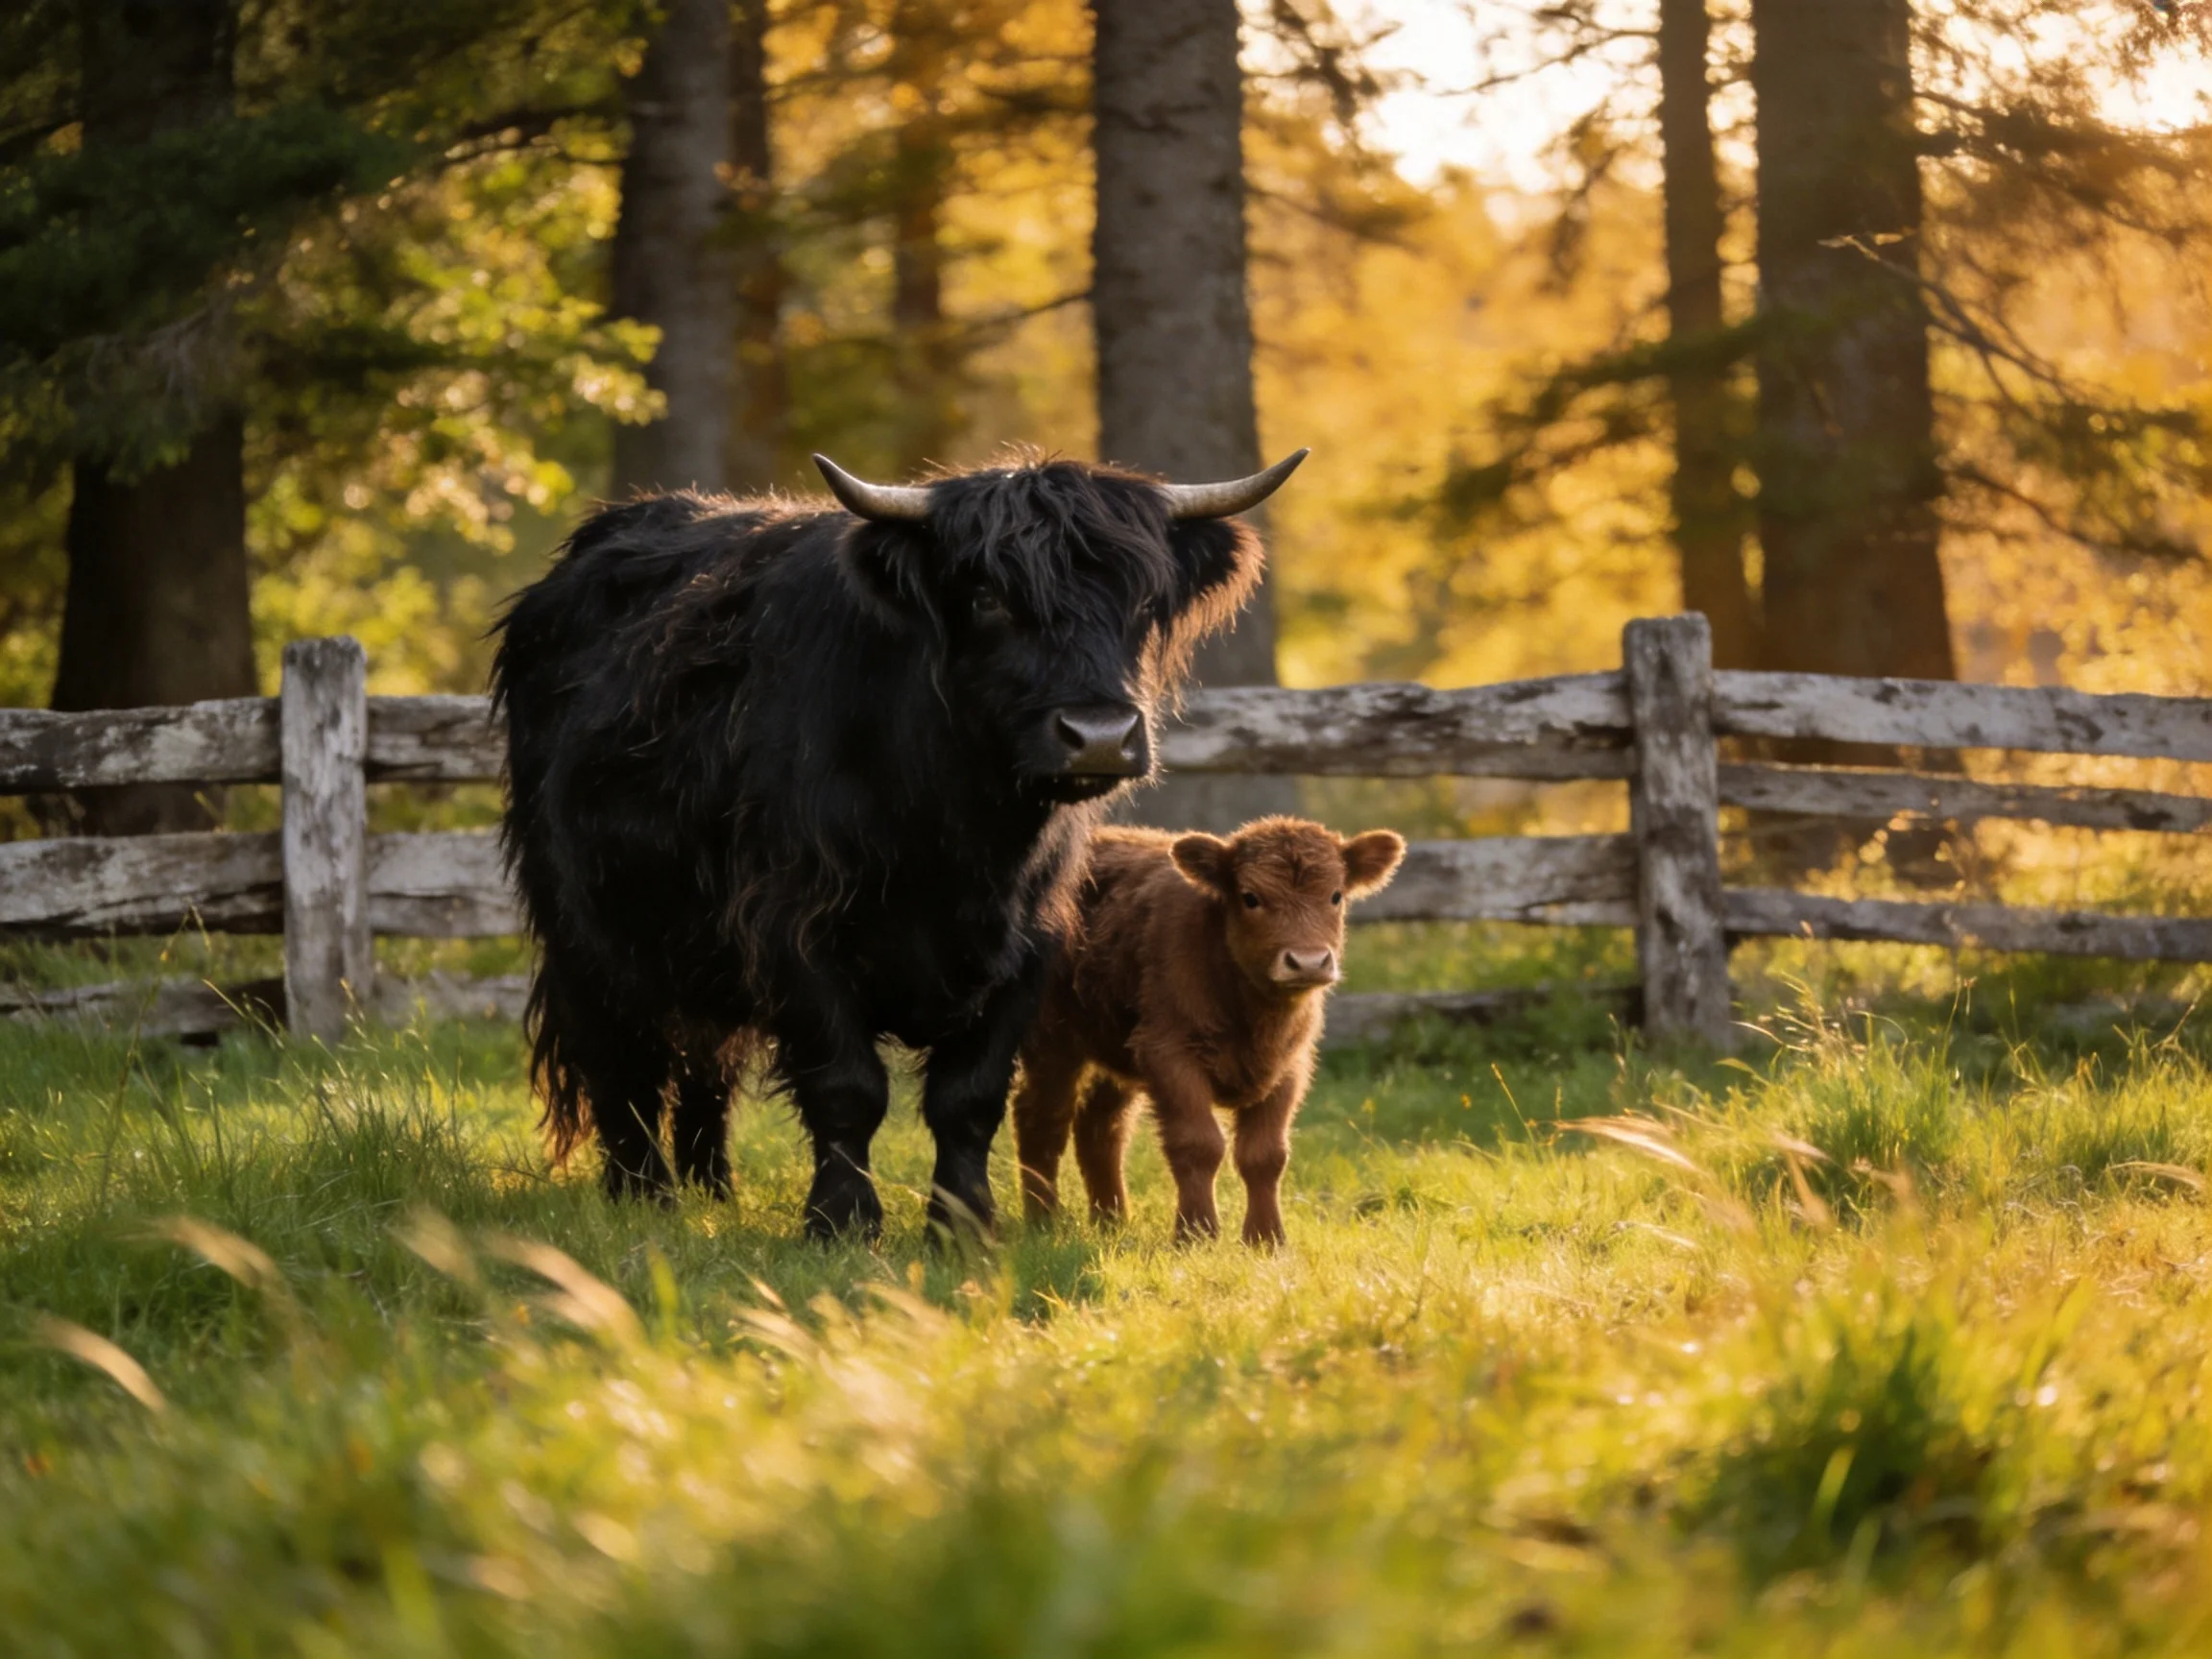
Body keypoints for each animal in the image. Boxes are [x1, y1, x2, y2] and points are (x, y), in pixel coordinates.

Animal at [490, 448, 1303, 1239]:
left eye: (1140, 600)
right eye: (987, 598)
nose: (1099, 735)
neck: (956, 839)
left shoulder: (1028, 945)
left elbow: (969, 1097)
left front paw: (965, 1225)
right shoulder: (792, 932)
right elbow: (848, 1087)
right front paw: (843, 1221)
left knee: (705, 1063)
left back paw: (712, 1191)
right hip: (583, 930)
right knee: (620, 1063)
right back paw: (643, 1196)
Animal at [1012, 817, 1405, 1246]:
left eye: (1335, 895)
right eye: (1250, 897)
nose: (1307, 962)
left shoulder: (1289, 1067)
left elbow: (1265, 1153)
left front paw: (1266, 1239)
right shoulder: (1169, 1056)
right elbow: (1198, 1143)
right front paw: (1196, 1233)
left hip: (1113, 1055)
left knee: (1101, 1130)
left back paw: (1112, 1221)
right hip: (1053, 1047)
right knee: (1041, 1122)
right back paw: (1043, 1222)